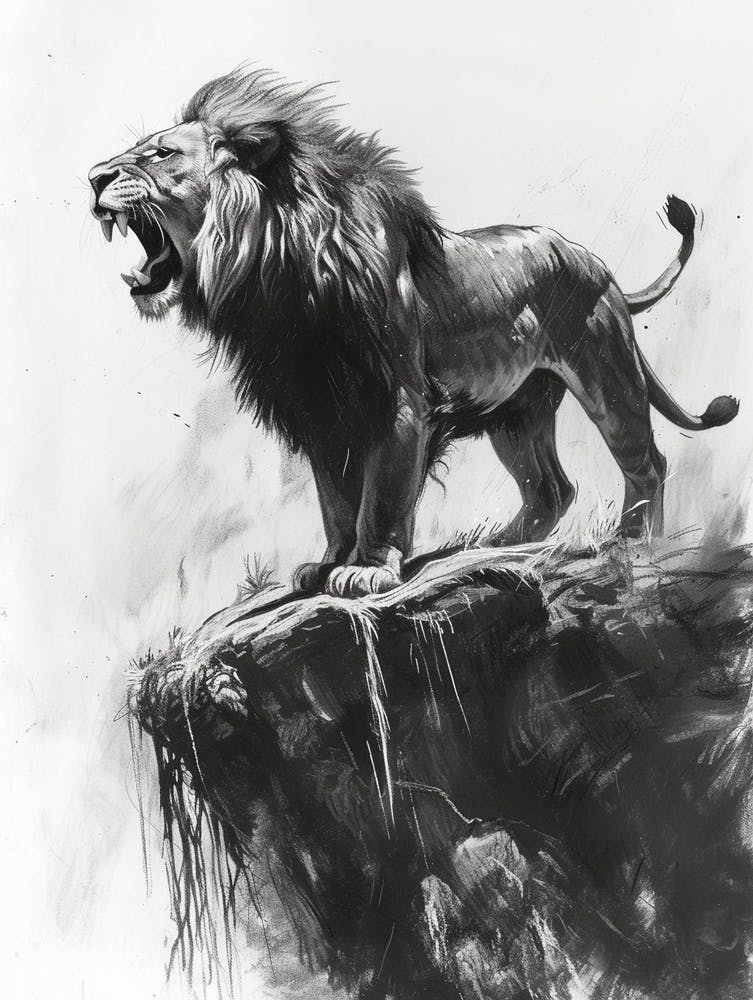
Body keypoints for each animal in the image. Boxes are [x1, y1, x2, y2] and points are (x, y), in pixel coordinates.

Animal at [89, 68, 739, 597]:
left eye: (161, 154)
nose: (94, 177)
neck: (279, 283)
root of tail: (601, 267)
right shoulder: (319, 407)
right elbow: (335, 499)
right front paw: (329, 563)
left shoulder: (396, 401)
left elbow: (381, 494)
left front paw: (367, 570)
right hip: (517, 410)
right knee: (551, 488)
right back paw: (498, 545)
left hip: (607, 376)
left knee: (646, 461)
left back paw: (635, 543)